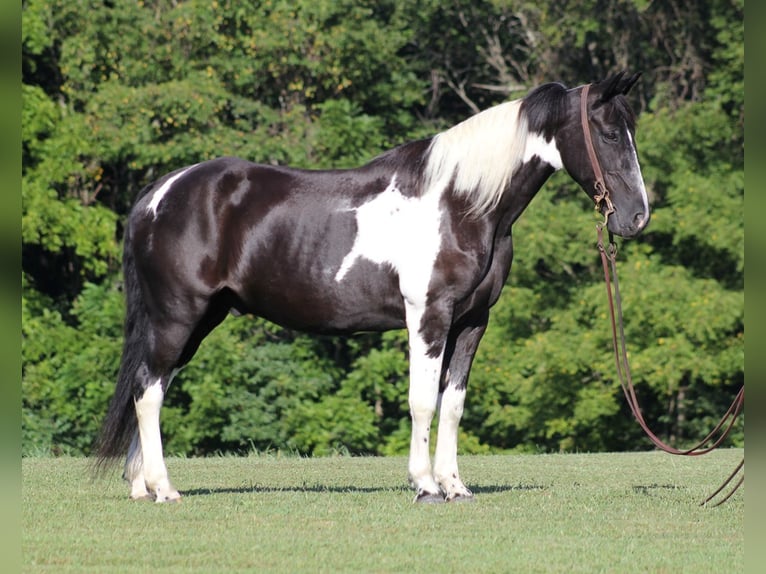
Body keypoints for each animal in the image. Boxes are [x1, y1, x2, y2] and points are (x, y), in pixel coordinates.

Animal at [93, 71, 652, 504]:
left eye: (631, 131)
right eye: (607, 133)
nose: (637, 218)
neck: (462, 203)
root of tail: (158, 194)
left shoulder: (473, 321)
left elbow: (453, 404)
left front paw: (455, 485)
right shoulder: (428, 315)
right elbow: (422, 401)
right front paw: (425, 485)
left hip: (196, 321)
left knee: (151, 385)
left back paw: (141, 486)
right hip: (177, 316)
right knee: (148, 392)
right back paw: (164, 489)